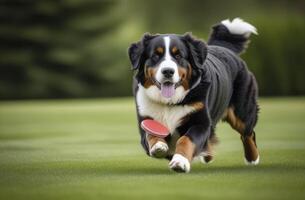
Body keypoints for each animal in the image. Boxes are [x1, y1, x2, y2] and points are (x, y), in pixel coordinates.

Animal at [128, 18, 258, 173]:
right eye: (155, 55)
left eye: (178, 55)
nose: (168, 71)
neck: (170, 102)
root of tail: (223, 47)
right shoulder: (146, 120)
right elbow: (151, 134)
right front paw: (159, 146)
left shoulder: (200, 123)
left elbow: (186, 140)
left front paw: (180, 161)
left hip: (241, 113)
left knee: (248, 133)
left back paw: (252, 158)